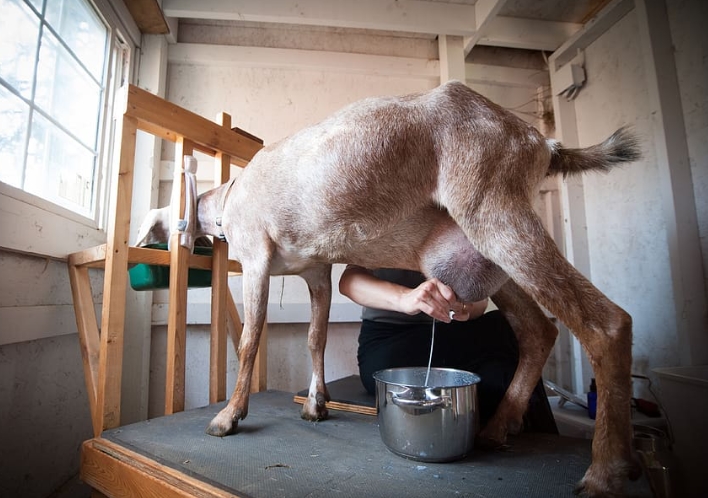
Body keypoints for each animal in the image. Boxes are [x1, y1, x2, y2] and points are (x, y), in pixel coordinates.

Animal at [137, 80, 640, 496]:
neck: (231, 196)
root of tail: (540, 141)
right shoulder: (318, 272)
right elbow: (315, 338)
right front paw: (316, 405)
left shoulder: (257, 258)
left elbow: (249, 341)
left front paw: (227, 417)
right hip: (492, 249)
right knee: (539, 330)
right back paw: (497, 429)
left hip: (494, 212)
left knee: (606, 323)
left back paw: (603, 474)